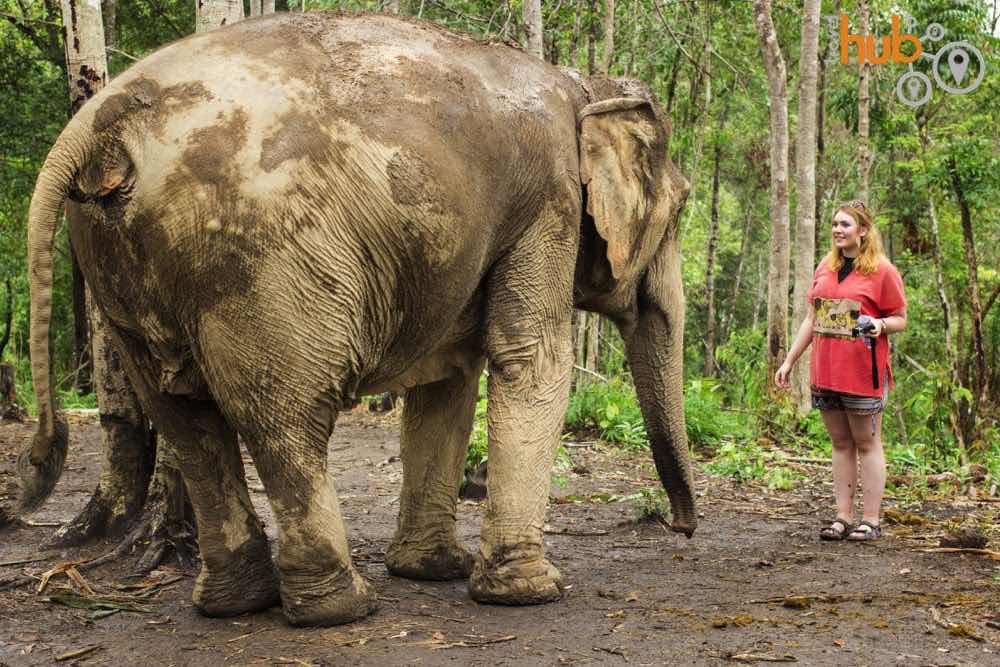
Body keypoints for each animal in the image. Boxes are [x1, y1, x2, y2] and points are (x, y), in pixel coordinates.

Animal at [11, 9, 692, 628]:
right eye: (682, 208)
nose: (681, 526)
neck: (584, 87)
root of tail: (106, 117)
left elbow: (448, 381)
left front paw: (433, 570)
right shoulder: (549, 201)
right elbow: (530, 361)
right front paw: (531, 591)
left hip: (114, 258)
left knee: (183, 416)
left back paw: (235, 603)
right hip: (263, 263)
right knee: (286, 416)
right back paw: (340, 608)